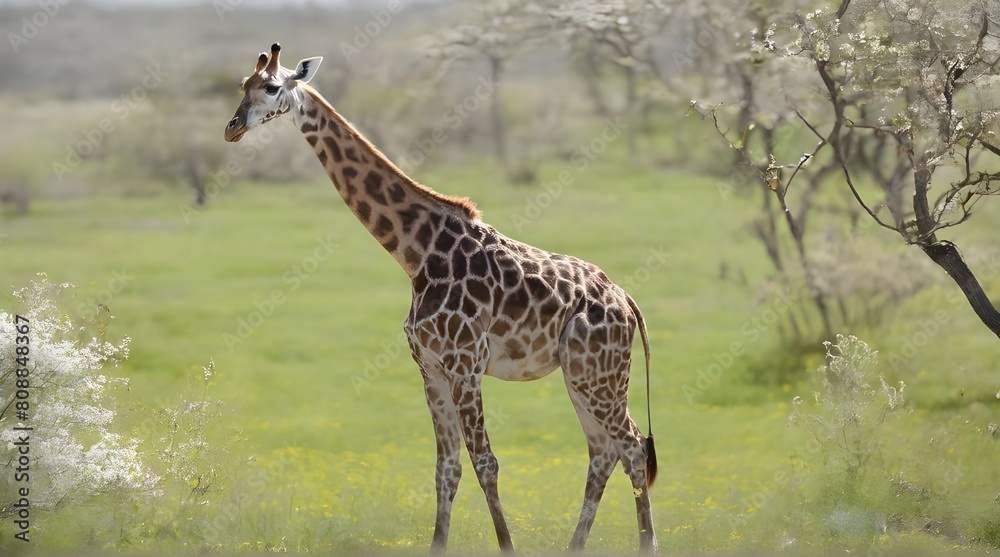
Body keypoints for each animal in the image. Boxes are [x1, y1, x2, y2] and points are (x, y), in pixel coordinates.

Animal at [225, 44, 659, 553]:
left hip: (600, 375)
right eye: (243, 85)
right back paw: (576, 547)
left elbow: (486, 462)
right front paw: (439, 543)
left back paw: (648, 544)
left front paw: (507, 546)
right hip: (582, 374)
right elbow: (446, 468)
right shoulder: (429, 367)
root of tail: (627, 301)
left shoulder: (464, 363)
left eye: (273, 87)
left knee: (631, 446)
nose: (232, 127)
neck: (416, 254)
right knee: (603, 451)